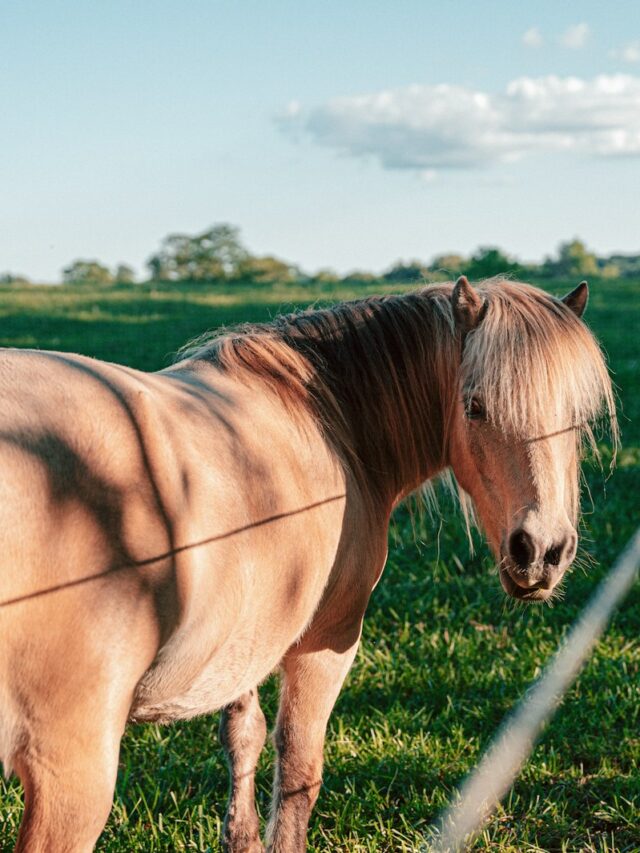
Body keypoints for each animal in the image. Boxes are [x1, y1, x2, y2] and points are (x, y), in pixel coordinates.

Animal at [0, 276, 616, 848]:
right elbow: (298, 770)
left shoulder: (245, 640)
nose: (541, 551)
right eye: (475, 407)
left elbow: (243, 738)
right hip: (74, 779)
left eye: (580, 416)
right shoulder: (327, 643)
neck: (331, 421)